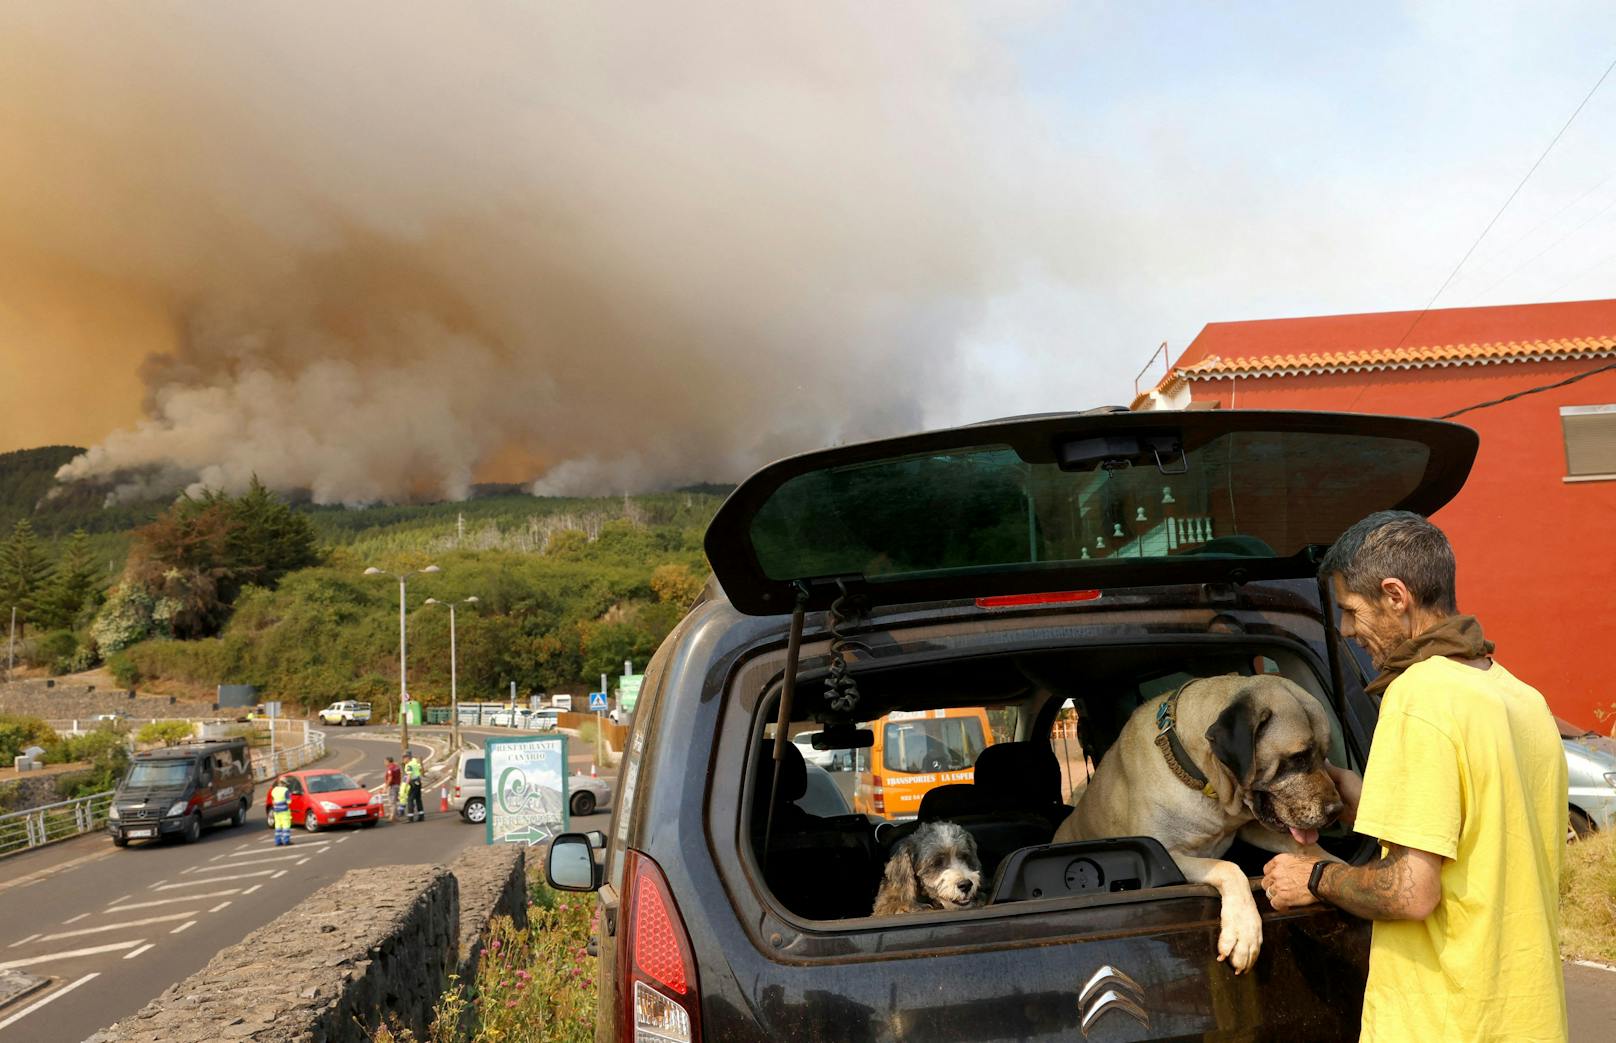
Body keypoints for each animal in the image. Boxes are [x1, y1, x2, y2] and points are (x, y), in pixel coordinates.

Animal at [1053, 672, 1344, 970]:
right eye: (1298, 758)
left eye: (1324, 755)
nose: (1337, 809)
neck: (1203, 776)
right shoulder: (1168, 857)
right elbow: (1229, 868)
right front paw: (1244, 931)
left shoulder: (1250, 826)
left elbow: (1304, 846)